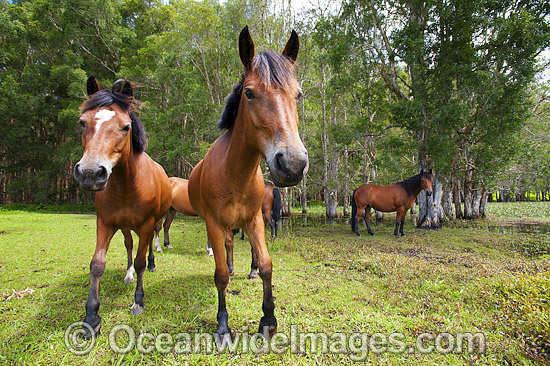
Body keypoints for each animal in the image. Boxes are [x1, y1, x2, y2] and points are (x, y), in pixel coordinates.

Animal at [73, 76, 171, 336]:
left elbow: (140, 261)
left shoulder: (146, 224)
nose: (90, 173)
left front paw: (138, 301)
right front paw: (91, 315)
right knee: (128, 245)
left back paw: (151, 264)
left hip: (155, 222)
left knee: (149, 243)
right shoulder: (105, 223)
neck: (127, 186)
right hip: (125, 226)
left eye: (126, 127)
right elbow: (97, 264)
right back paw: (128, 274)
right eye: (82, 123)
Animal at [189, 27, 310, 338]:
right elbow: (219, 273)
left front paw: (268, 318)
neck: (234, 175)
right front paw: (222, 324)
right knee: (228, 250)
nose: (293, 164)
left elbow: (267, 264)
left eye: (298, 94)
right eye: (249, 93)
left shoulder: (255, 219)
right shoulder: (214, 223)